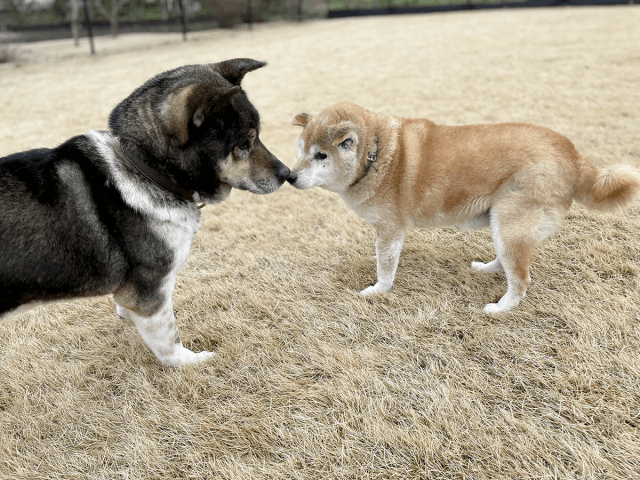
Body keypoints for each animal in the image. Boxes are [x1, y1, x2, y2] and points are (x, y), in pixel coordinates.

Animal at [0, 60, 290, 368]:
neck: (143, 168)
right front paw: (192, 362)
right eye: (244, 144)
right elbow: (169, 337)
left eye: (257, 136)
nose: (287, 174)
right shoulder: (150, 291)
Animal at [288, 101, 640, 314]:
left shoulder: (389, 231)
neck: (376, 156)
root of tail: (572, 152)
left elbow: (385, 269)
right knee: (508, 263)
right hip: (502, 224)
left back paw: (501, 308)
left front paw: (378, 291)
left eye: (321, 155)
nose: (289, 176)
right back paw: (488, 269)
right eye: (301, 149)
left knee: (521, 279)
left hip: (511, 224)